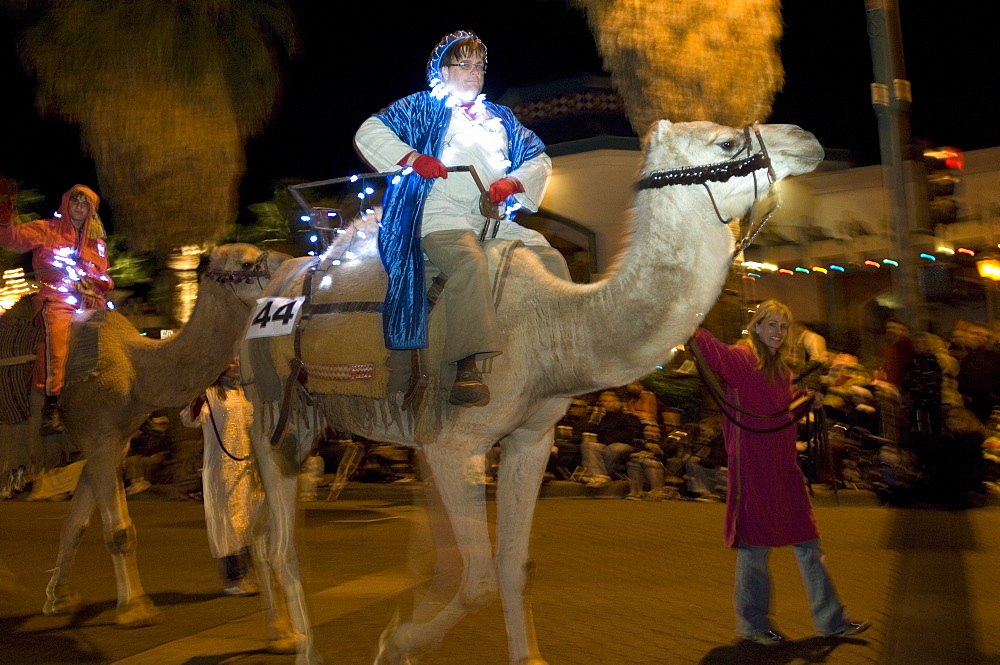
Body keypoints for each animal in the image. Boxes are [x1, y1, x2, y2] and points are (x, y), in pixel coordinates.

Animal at [0, 244, 290, 628]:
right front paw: (136, 610)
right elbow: (120, 531)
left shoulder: (111, 440)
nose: (294, 267)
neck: (136, 368)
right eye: (246, 264)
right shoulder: (99, 437)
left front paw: (60, 599)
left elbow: (76, 524)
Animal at [246, 120, 824, 664]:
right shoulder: (455, 446)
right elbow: (476, 577)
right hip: (277, 412)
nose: (806, 138)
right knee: (283, 542)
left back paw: (280, 632)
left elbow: (511, 564)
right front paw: (394, 643)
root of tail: (283, 273)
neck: (554, 327)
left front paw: (521, 654)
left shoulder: (530, 438)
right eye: (726, 143)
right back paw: (304, 648)